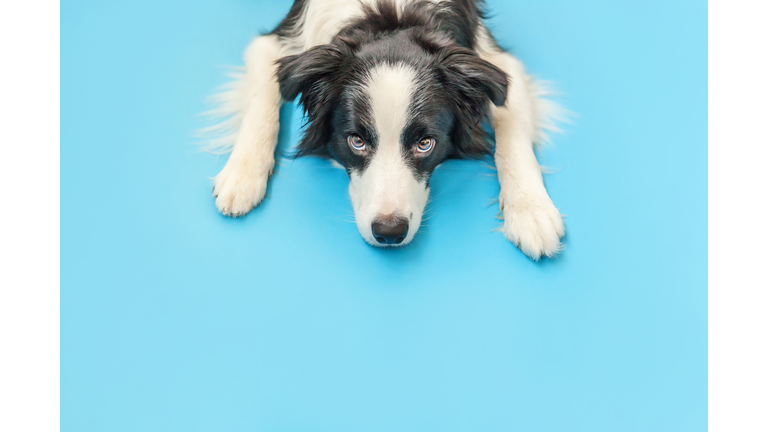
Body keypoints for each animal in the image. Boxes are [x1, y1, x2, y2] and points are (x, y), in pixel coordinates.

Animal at [204, 0, 564, 260]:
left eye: (425, 144)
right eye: (357, 141)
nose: (389, 233)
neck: (391, 17)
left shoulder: (494, 59)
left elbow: (512, 128)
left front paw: (531, 211)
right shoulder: (278, 43)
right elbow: (262, 97)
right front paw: (242, 175)